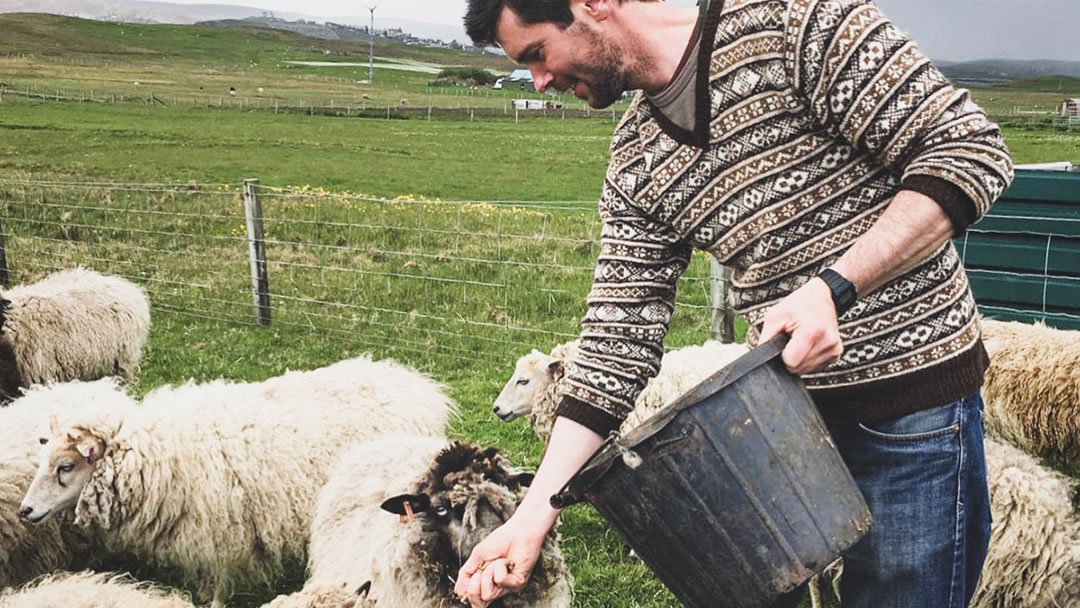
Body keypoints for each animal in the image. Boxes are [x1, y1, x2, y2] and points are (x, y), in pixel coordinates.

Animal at [16, 356, 455, 608]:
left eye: (66, 466)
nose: (25, 510)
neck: (156, 454)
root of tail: (414, 383)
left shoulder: (217, 535)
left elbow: (215, 587)